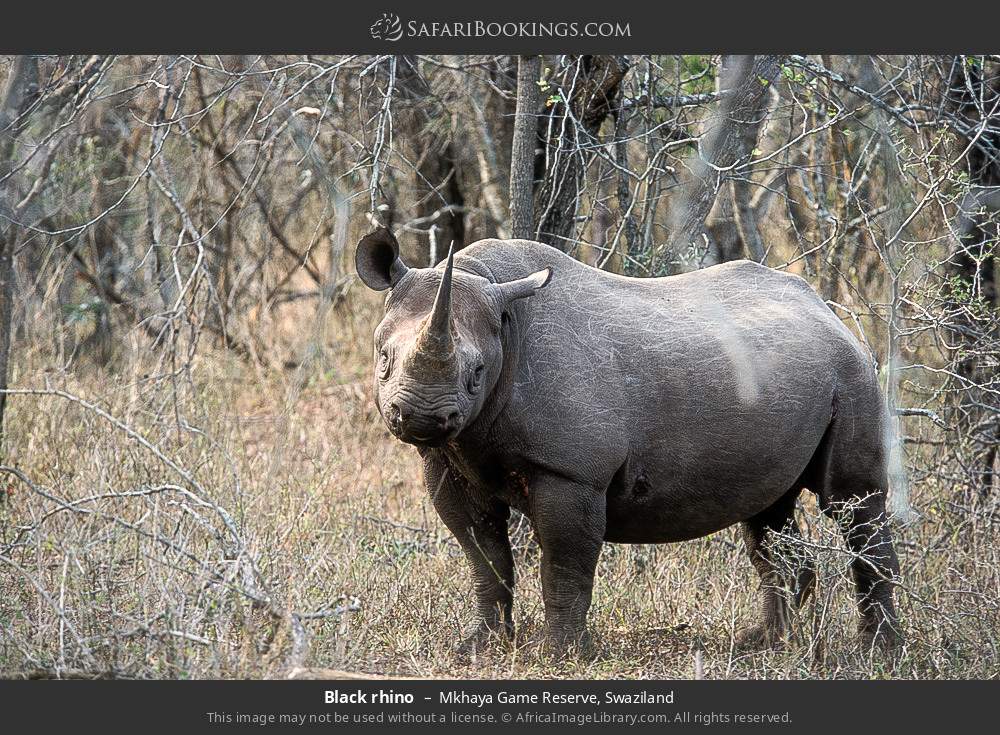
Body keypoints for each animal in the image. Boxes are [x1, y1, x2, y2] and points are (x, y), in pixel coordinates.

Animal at [355, 227, 901, 654]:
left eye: (476, 374)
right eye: (382, 359)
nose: (422, 416)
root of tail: (827, 309)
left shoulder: (572, 471)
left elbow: (564, 564)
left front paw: (562, 654)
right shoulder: (449, 459)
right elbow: (484, 557)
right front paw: (481, 647)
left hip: (851, 372)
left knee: (851, 502)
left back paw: (877, 652)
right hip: (784, 374)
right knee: (768, 512)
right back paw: (764, 643)